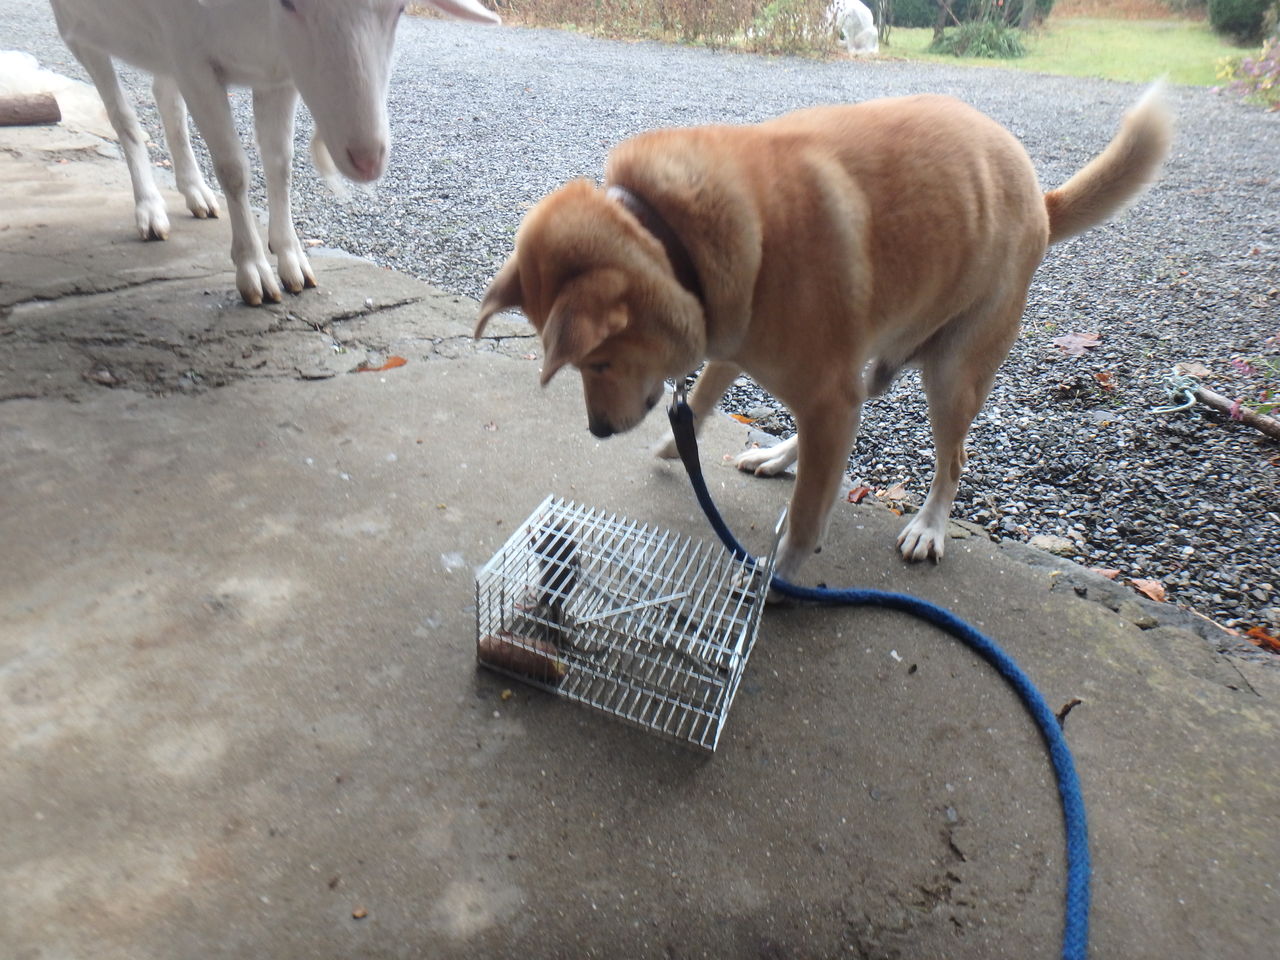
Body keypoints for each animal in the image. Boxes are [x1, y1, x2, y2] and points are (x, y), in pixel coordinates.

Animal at [51, 0, 499, 304]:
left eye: (401, 6)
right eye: (288, 2)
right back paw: (150, 210)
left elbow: (280, 163)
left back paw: (196, 193)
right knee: (122, 116)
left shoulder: (279, 75)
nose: (368, 160)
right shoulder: (193, 61)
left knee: (165, 96)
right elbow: (233, 169)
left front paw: (291, 260)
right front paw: (254, 272)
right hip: (79, 30)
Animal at [478, 92, 1172, 586]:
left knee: (948, 461)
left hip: (951, 375)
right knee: (840, 435)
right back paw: (780, 456)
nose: (597, 431)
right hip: (865, 365)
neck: (677, 236)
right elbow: (704, 393)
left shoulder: (821, 389)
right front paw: (683, 442)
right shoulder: (742, 342)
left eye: (597, 362)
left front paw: (780, 575)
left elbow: (810, 515)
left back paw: (928, 526)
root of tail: (1040, 200)